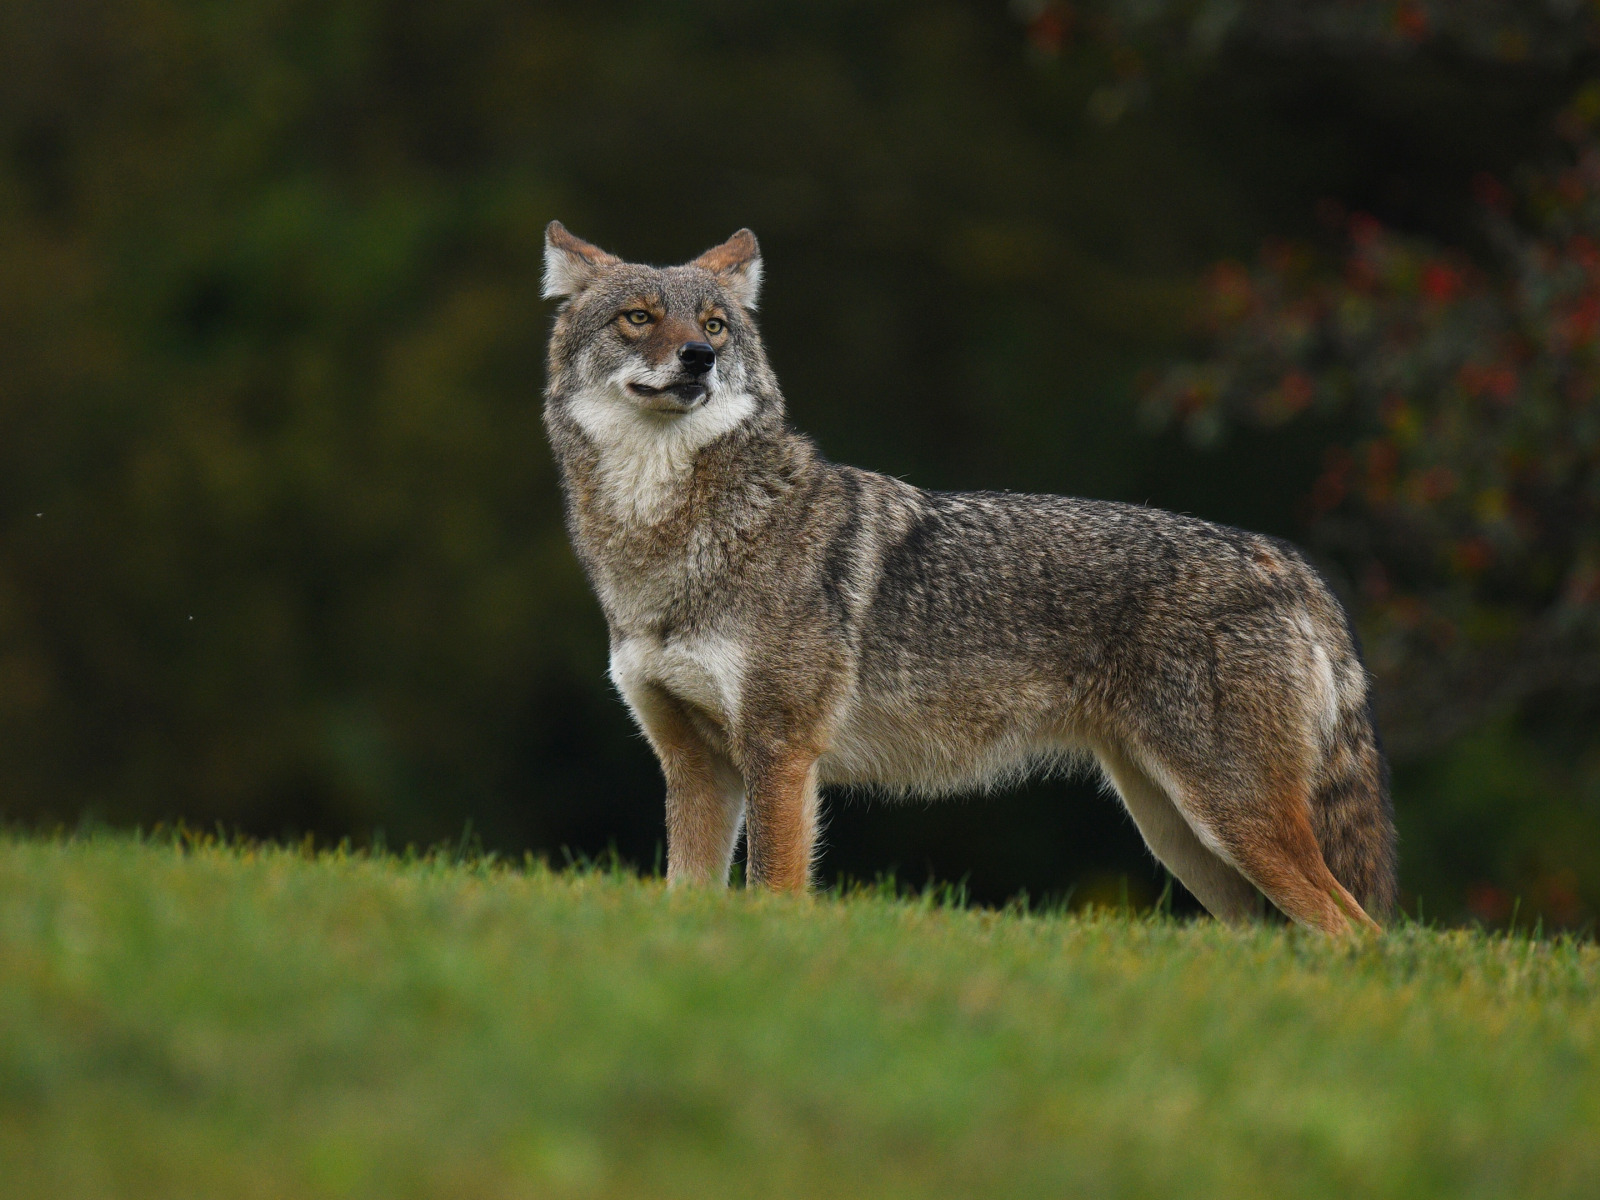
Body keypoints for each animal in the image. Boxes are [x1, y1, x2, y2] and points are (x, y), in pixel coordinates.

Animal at [544, 225, 1395, 940]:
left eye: (715, 326)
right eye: (638, 318)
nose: (700, 359)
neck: (664, 547)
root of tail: (1286, 563)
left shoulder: (780, 752)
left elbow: (774, 890)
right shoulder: (696, 768)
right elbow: (686, 894)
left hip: (1230, 820)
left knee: (1359, 934)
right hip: (1184, 839)